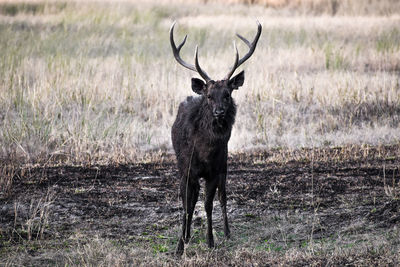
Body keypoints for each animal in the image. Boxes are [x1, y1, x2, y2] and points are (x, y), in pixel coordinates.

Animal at [170, 21, 260, 255]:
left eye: (227, 94)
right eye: (209, 96)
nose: (219, 112)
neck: (204, 152)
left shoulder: (214, 170)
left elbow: (209, 205)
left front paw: (210, 241)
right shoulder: (186, 170)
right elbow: (187, 205)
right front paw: (179, 246)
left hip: (225, 165)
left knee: (223, 196)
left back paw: (227, 233)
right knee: (192, 200)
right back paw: (187, 236)